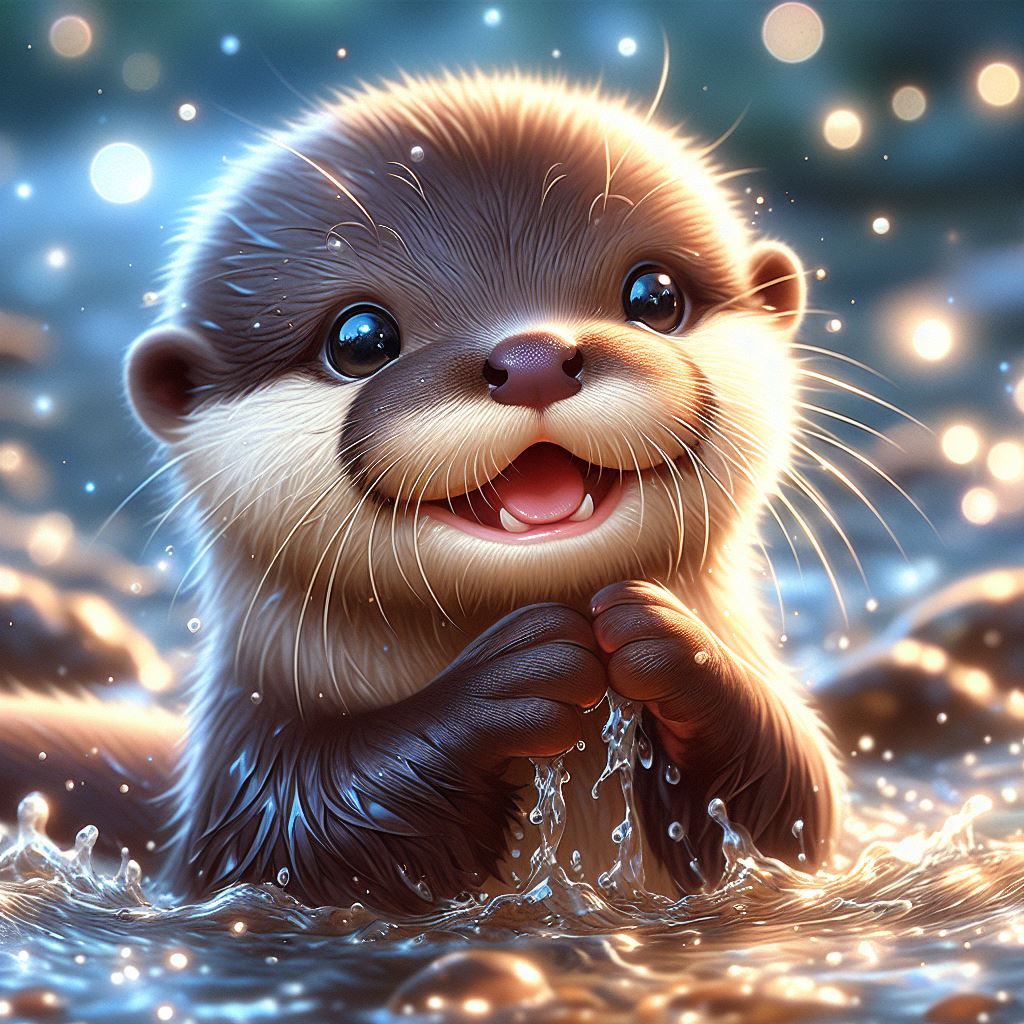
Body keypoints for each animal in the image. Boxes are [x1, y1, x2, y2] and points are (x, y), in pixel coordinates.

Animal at [3, 73, 843, 911]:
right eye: (360, 339)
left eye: (655, 295)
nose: (533, 356)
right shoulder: (239, 789)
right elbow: (304, 832)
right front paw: (511, 678)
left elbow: (800, 802)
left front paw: (669, 641)